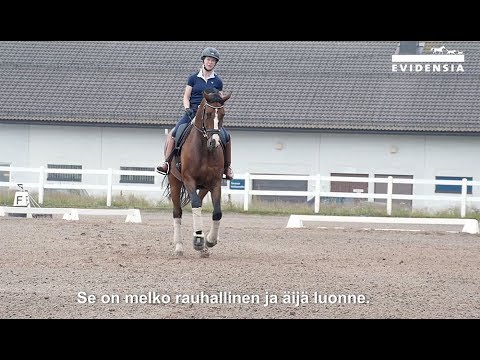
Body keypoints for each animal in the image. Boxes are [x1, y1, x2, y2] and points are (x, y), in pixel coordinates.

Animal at [163, 87, 232, 258]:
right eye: (208, 113)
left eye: (223, 114)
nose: (214, 142)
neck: (203, 149)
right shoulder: (189, 180)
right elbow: (194, 204)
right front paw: (199, 240)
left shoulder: (215, 183)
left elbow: (217, 212)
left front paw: (210, 241)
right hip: (175, 181)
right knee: (177, 212)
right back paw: (179, 247)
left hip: (204, 187)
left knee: (198, 203)